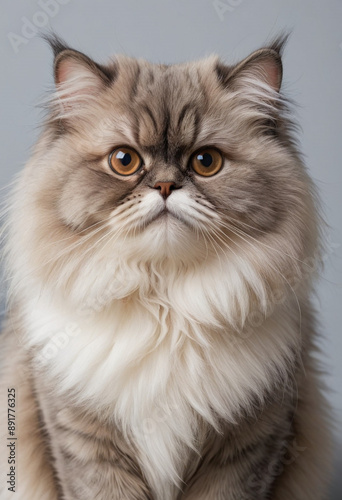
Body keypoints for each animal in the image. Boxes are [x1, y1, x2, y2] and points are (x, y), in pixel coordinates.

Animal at [0, 36, 332, 500]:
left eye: (206, 162)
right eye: (124, 160)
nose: (165, 186)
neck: (166, 303)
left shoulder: (249, 445)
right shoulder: (84, 443)